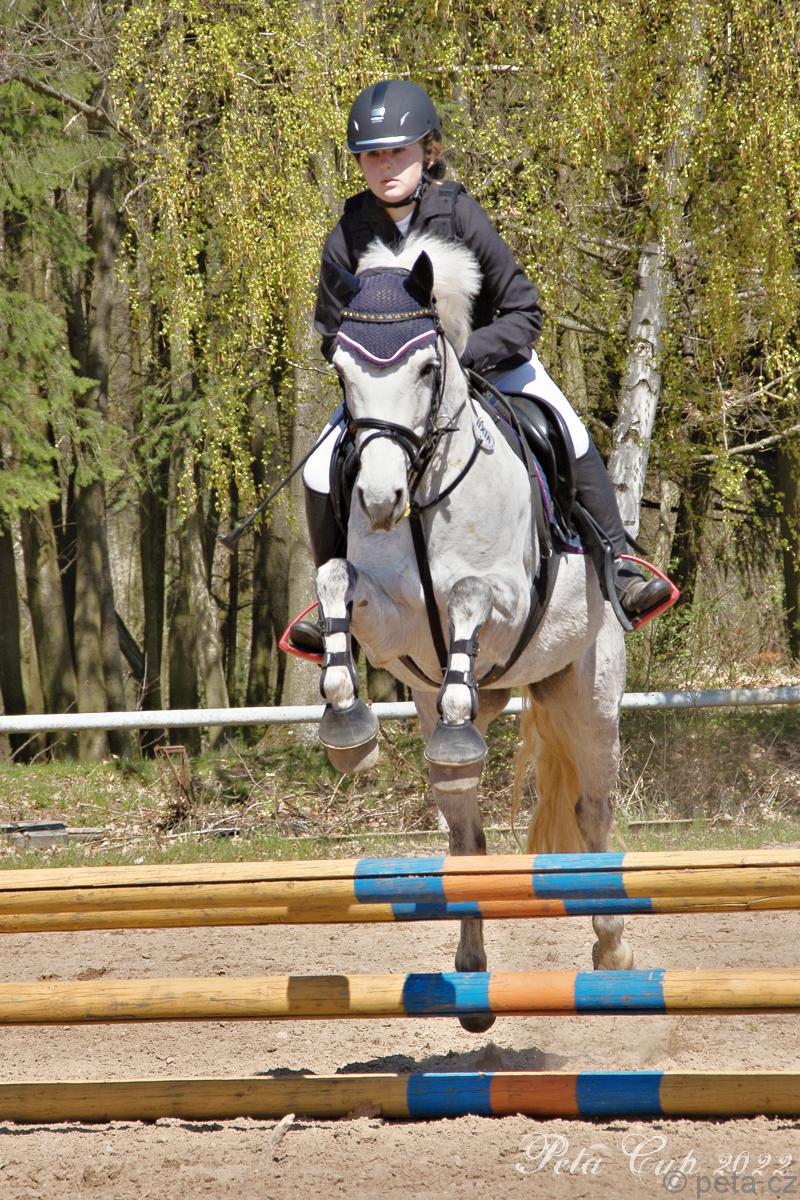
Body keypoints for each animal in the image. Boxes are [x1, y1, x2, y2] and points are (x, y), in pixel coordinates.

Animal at [313, 232, 631, 1033]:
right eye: (342, 369)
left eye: (428, 367)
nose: (379, 499)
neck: (426, 489)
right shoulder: (388, 618)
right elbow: (333, 582)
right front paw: (346, 718)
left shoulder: (507, 601)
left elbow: (466, 593)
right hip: (451, 717)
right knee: (466, 836)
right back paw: (472, 971)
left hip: (589, 697)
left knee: (592, 816)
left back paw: (613, 950)